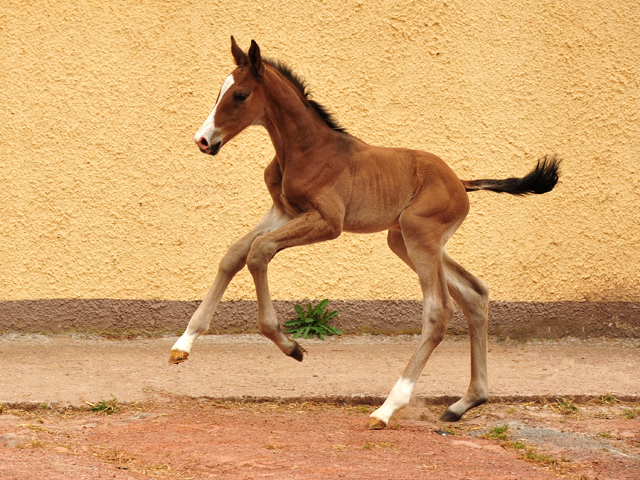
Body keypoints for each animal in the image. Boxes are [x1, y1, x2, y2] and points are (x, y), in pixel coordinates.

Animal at [170, 37, 560, 428]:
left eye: (240, 95)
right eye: (219, 92)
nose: (203, 140)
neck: (306, 150)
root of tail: (461, 183)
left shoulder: (328, 222)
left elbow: (259, 252)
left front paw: (289, 345)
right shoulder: (283, 211)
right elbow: (234, 254)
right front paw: (183, 344)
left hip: (419, 236)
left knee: (439, 311)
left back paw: (388, 408)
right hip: (404, 239)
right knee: (474, 294)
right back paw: (465, 402)